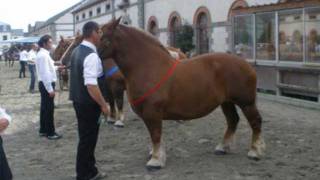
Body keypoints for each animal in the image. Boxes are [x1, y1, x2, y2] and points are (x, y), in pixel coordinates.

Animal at [98, 18, 268, 170]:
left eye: (104, 38)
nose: (95, 54)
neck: (149, 67)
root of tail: (245, 63)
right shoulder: (150, 115)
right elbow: (155, 135)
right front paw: (156, 154)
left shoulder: (152, 112)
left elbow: (155, 134)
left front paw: (155, 161)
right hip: (226, 102)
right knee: (233, 120)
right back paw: (222, 147)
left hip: (246, 102)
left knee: (255, 122)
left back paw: (254, 151)